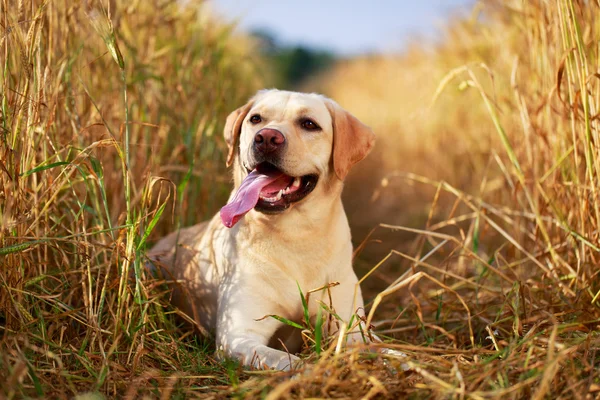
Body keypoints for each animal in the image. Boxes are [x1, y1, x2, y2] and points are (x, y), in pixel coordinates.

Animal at [147, 89, 376, 370]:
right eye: (255, 119)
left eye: (309, 124)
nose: (267, 137)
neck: (296, 236)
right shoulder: (238, 336)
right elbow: (290, 361)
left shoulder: (351, 328)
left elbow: (383, 350)